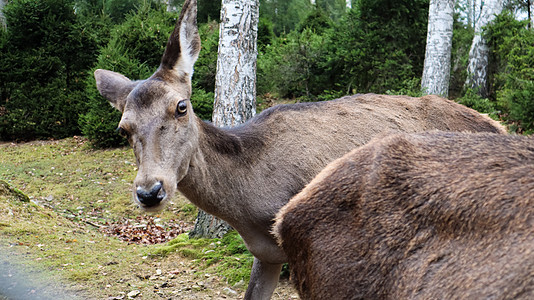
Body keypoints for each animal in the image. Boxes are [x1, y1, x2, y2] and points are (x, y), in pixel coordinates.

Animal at [94, 0, 508, 298]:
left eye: (181, 106)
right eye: (123, 128)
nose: (150, 191)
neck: (250, 207)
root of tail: (498, 124)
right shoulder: (267, 255)